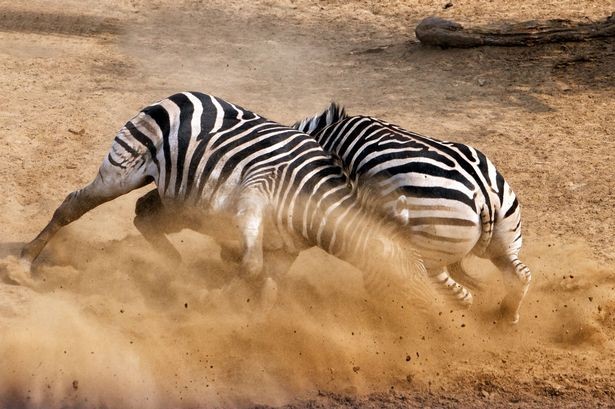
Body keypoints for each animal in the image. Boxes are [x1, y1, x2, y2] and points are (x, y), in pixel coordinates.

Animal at [20, 91, 434, 310]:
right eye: (404, 285)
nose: (435, 326)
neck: (313, 203)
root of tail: (180, 95)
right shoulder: (253, 202)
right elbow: (251, 268)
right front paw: (217, 301)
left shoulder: (286, 249)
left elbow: (269, 286)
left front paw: (250, 319)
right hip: (124, 170)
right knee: (73, 205)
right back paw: (23, 263)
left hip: (182, 199)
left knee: (143, 214)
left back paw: (172, 267)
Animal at [292, 104, 528, 322]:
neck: (325, 132)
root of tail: (483, 195)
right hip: (504, 240)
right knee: (517, 276)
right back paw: (506, 316)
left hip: (428, 250)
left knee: (449, 292)